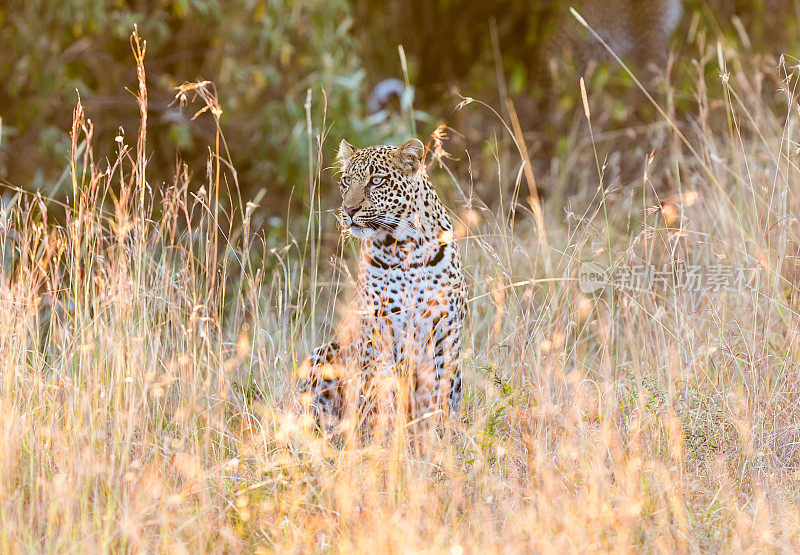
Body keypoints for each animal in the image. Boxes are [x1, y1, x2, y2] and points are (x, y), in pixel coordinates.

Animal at [296, 139, 466, 434]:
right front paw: (380, 436)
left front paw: (438, 434)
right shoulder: (377, 328)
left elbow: (438, 389)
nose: (349, 210)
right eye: (347, 181)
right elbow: (378, 388)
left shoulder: (444, 326)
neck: (405, 247)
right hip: (326, 350)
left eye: (376, 181)